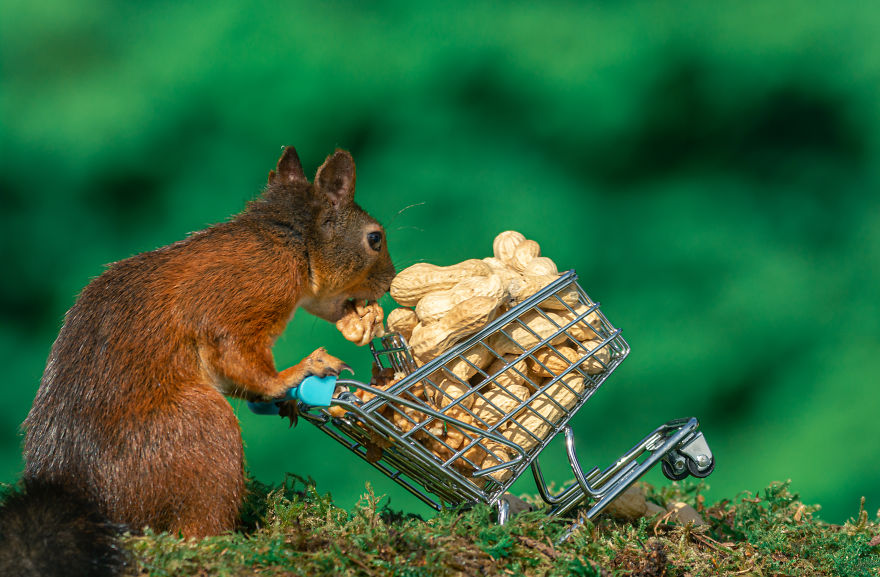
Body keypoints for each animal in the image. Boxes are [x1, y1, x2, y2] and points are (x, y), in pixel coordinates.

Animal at [11, 147, 392, 540]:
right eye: (375, 238)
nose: (391, 280)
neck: (286, 240)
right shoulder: (248, 292)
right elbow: (237, 352)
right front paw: (296, 374)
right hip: (202, 430)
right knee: (198, 526)